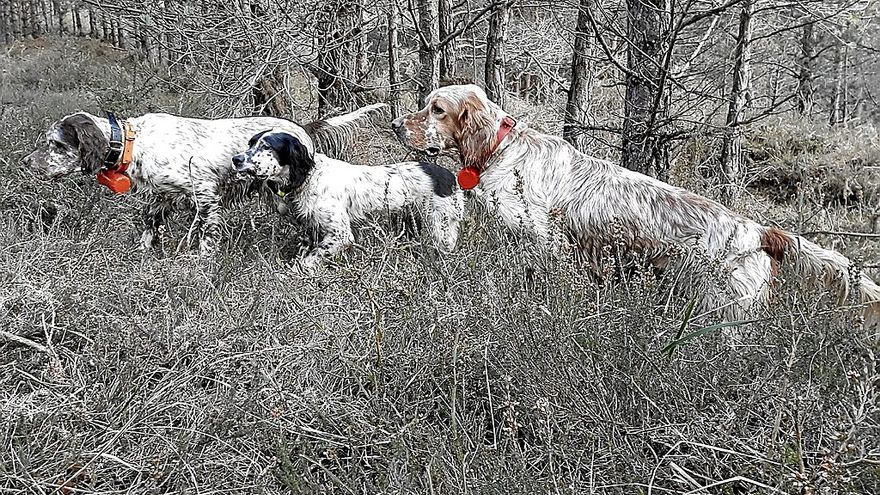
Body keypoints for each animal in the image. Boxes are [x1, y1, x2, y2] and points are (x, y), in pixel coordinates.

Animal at [230, 128, 464, 268]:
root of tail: (451, 177)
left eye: (266, 146)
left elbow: (308, 260)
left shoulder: (340, 235)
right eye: (250, 143)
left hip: (440, 228)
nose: (236, 159)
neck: (309, 177)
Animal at [394, 84, 880, 326]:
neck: (502, 149)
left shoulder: (543, 241)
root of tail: (756, 230)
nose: (397, 125)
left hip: (721, 308)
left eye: (436, 109)